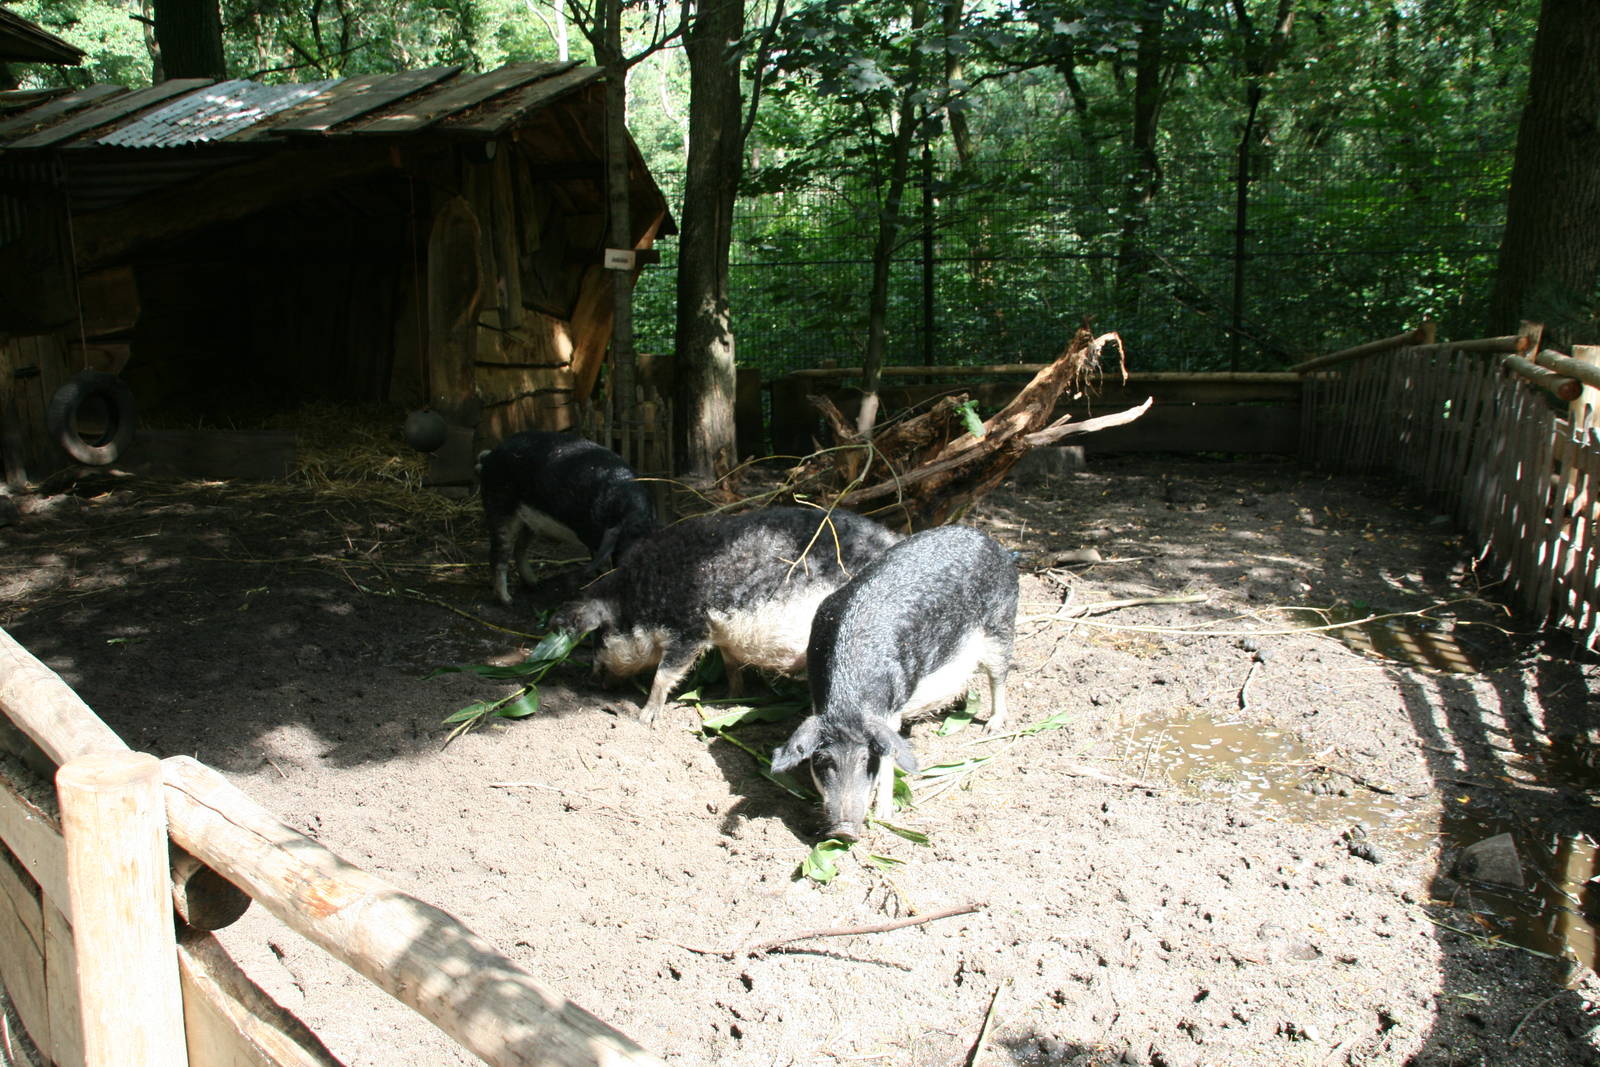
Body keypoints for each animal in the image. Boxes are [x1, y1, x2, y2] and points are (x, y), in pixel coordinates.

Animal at [477, 431, 658, 605]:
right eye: (624, 549)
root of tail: (489, 456)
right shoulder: (591, 535)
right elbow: (602, 567)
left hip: (531, 522)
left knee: (519, 548)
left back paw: (535, 585)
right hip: (499, 506)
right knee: (499, 554)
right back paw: (508, 601)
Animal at [552, 506, 902, 725]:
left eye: (599, 637)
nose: (591, 680)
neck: (642, 598)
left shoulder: (689, 630)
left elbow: (664, 674)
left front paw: (645, 718)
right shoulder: (723, 633)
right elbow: (731, 663)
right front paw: (731, 696)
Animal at [771, 525, 1018, 842]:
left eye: (866, 759)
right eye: (824, 761)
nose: (844, 831)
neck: (847, 703)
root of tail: (992, 542)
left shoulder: (890, 712)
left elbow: (892, 752)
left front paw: (884, 816)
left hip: (1001, 622)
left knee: (998, 675)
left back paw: (993, 726)